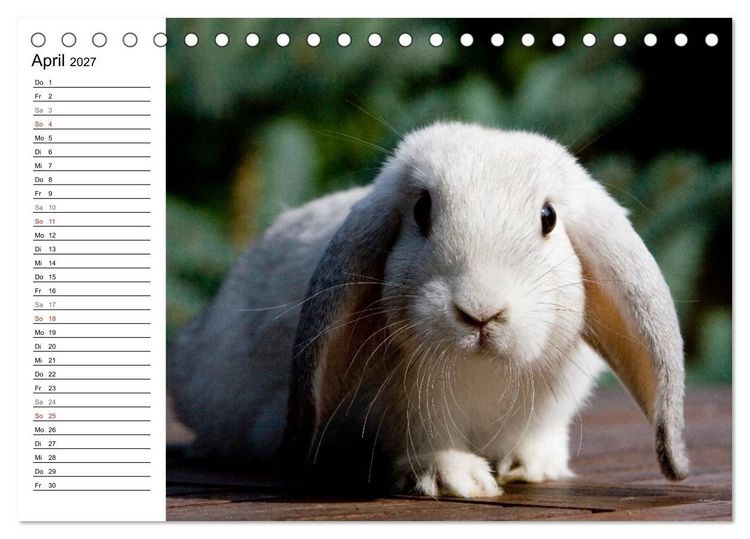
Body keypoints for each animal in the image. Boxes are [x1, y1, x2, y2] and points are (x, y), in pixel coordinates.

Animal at [168, 122, 688, 497]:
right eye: (421, 210)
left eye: (548, 217)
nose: (480, 312)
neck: (482, 371)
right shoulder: (406, 412)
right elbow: (428, 443)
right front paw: (458, 481)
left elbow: (536, 437)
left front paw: (529, 468)